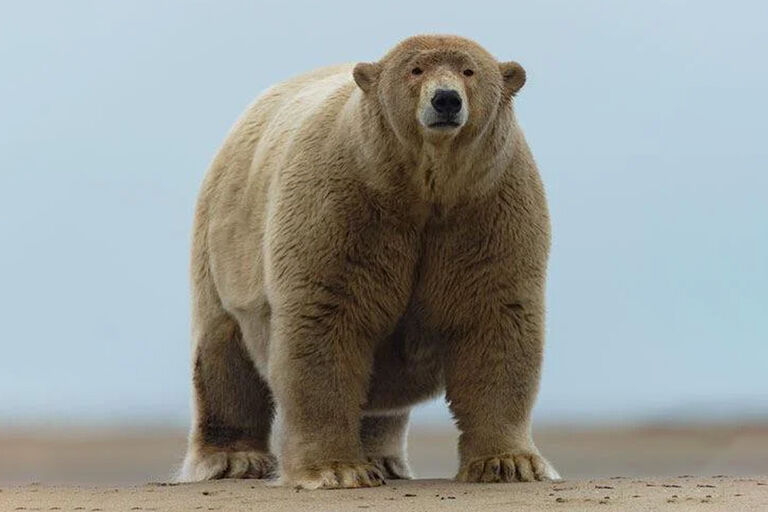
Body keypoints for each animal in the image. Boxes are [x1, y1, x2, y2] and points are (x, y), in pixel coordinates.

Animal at [178, 34, 559, 489]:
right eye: (415, 69)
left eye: (469, 70)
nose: (446, 100)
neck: (422, 189)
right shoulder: (343, 204)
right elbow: (325, 320)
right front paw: (336, 470)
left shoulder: (488, 208)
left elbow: (495, 320)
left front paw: (509, 463)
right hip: (223, 243)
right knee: (223, 352)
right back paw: (234, 459)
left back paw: (384, 459)